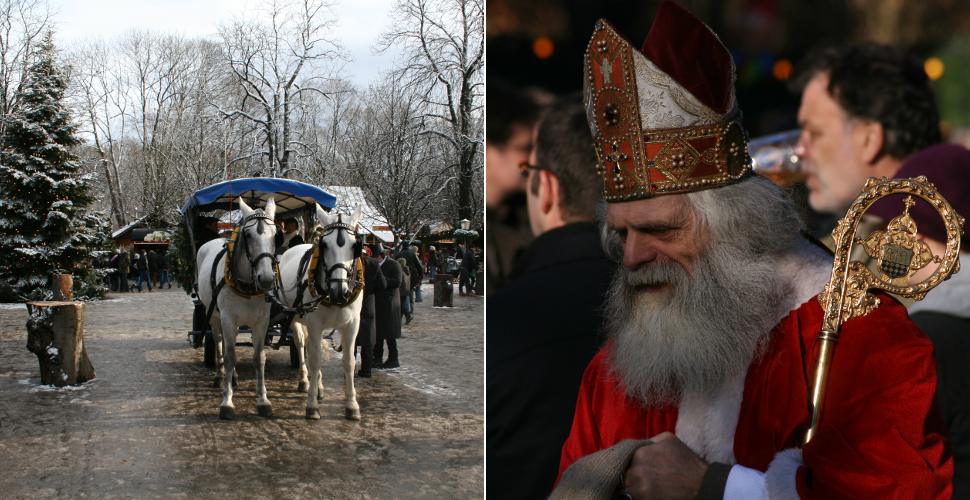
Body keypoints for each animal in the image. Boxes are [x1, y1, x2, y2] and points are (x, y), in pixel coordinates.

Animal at [193, 197, 276, 420]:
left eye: (276, 235)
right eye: (248, 235)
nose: (266, 279)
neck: (246, 285)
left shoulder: (262, 321)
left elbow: (259, 358)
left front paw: (262, 400)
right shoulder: (228, 318)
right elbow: (230, 356)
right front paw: (227, 402)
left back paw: (235, 378)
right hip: (214, 315)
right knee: (220, 343)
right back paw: (221, 376)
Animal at [278, 205, 364, 420]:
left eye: (355, 246)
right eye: (324, 245)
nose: (340, 291)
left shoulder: (352, 325)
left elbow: (349, 362)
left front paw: (352, 405)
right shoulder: (315, 323)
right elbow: (315, 359)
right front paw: (311, 406)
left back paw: (318, 386)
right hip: (295, 317)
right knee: (302, 345)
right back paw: (305, 380)